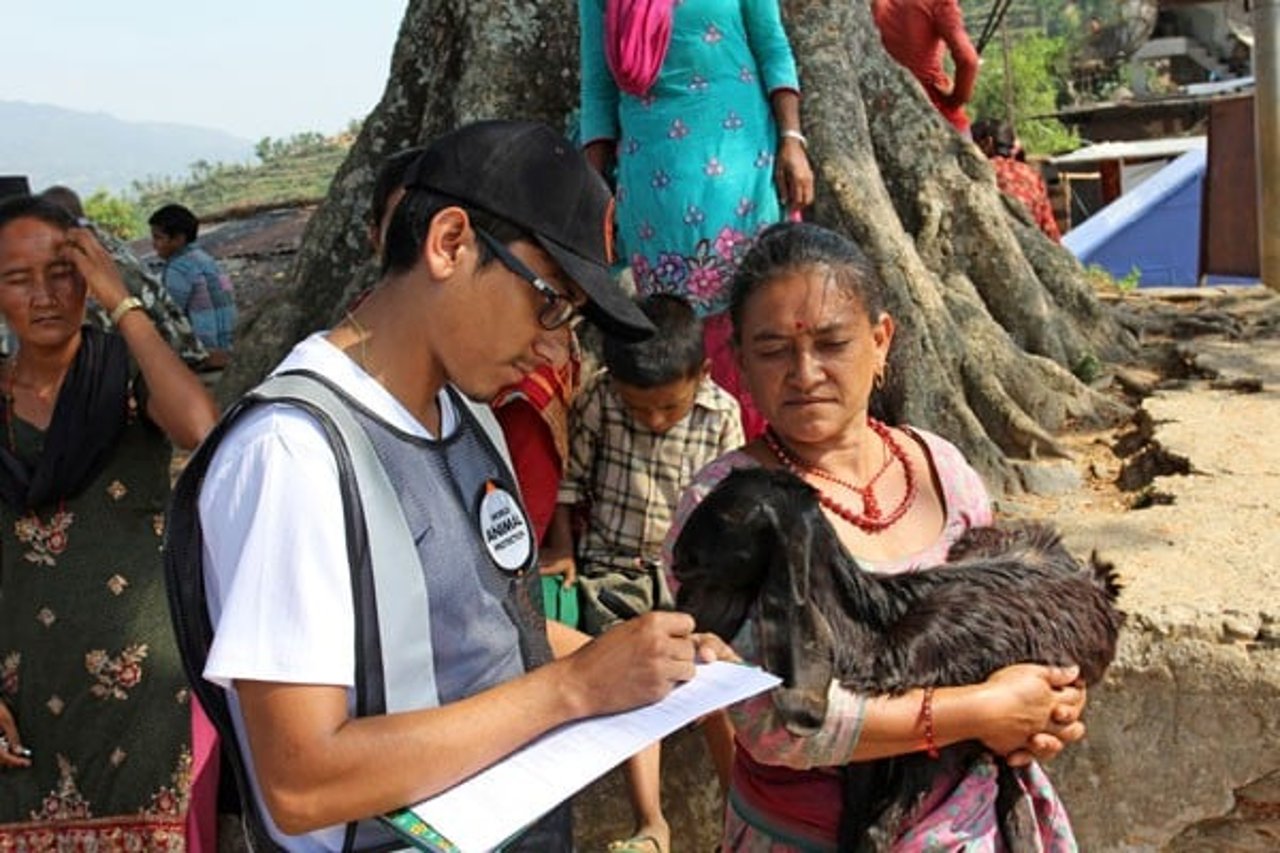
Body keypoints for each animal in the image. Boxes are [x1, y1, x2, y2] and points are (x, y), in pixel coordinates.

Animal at [670, 468, 1121, 845]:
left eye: (730, 514)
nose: (677, 558)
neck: (875, 632)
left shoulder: (934, 749)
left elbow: (874, 833)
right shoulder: (869, 763)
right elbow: (851, 824)